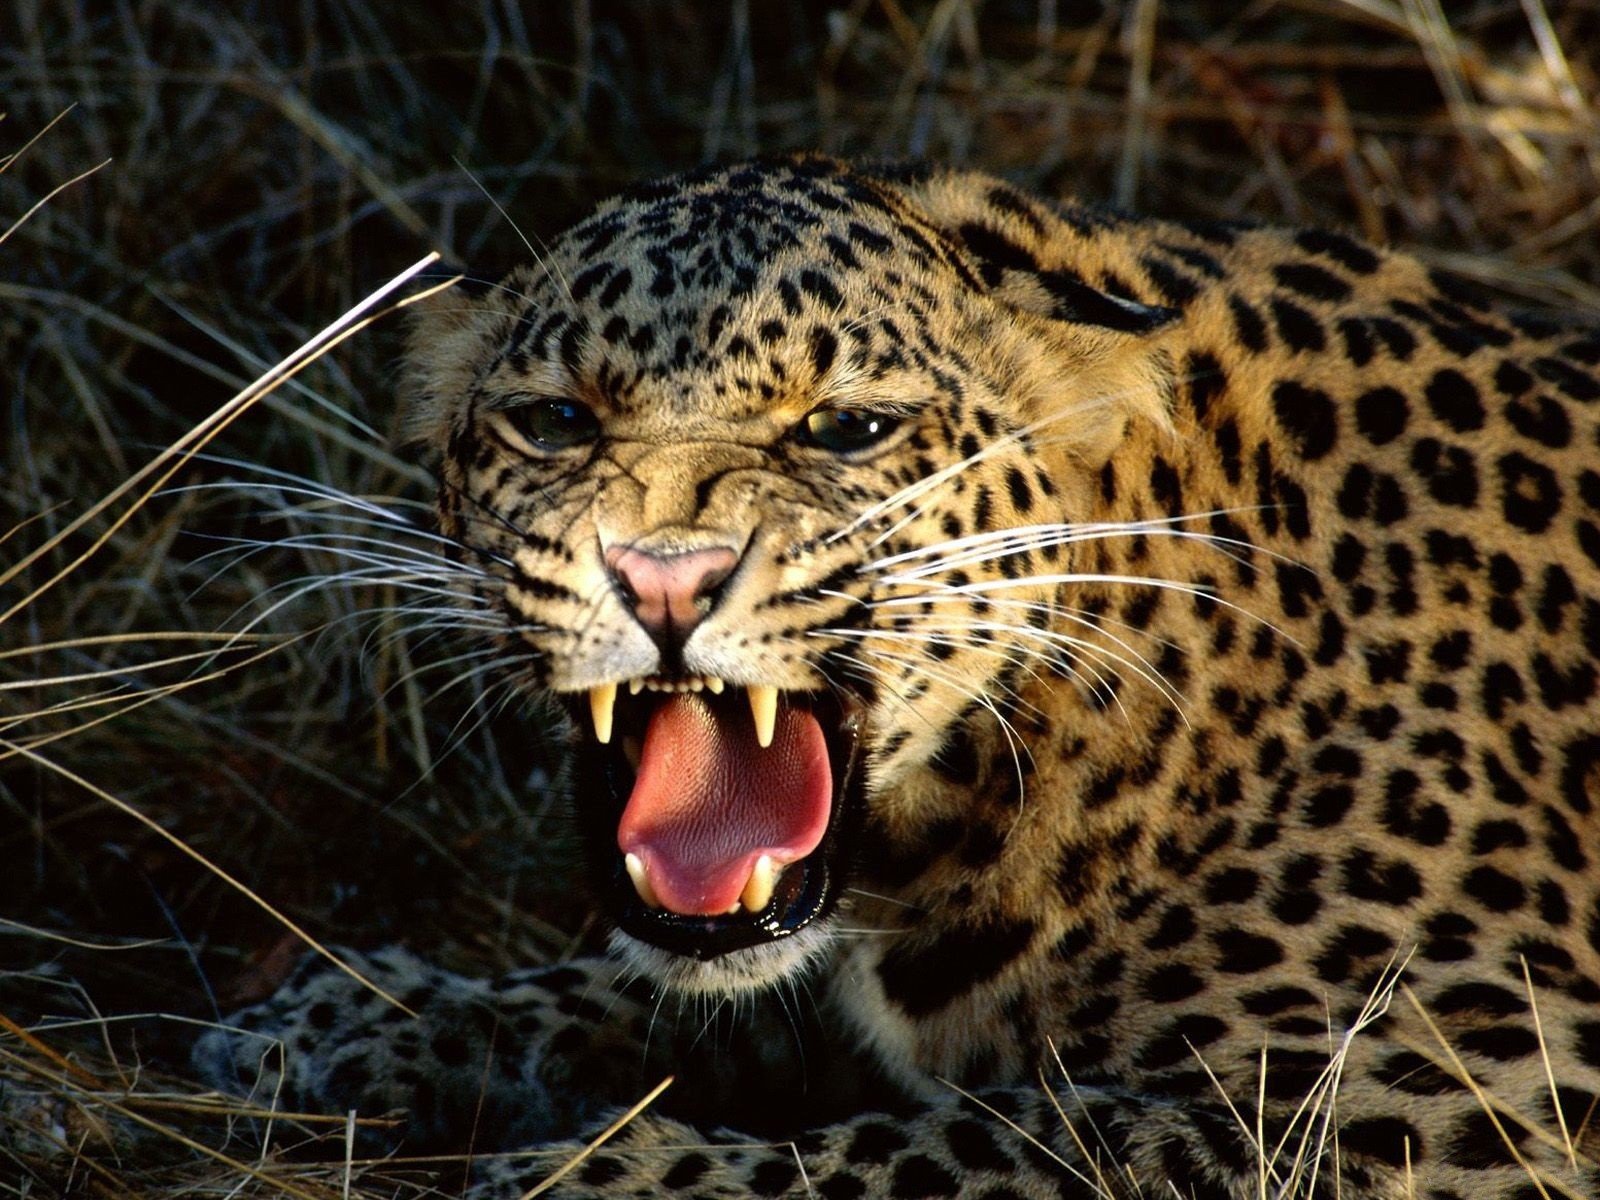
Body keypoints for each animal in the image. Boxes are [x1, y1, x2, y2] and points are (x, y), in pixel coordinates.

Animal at [195, 154, 1600, 1198]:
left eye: (847, 429)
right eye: (556, 423)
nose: (662, 580)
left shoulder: (1477, 1089)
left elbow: (1020, 1142)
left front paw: (593, 1178)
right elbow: (638, 987)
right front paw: (348, 1021)